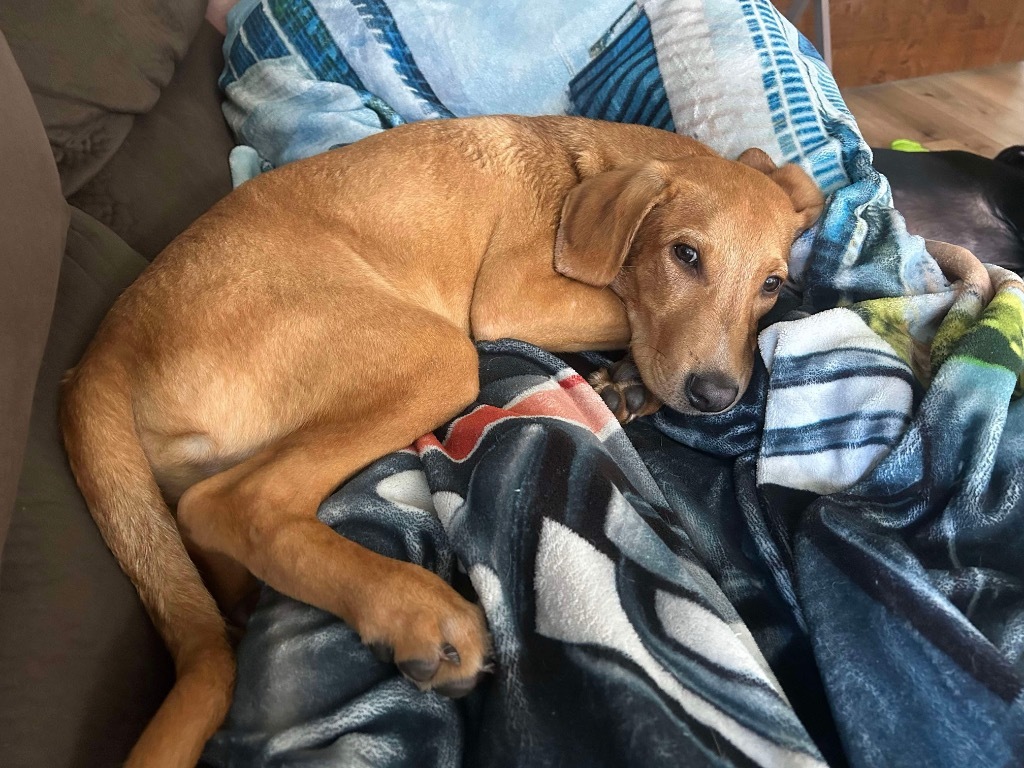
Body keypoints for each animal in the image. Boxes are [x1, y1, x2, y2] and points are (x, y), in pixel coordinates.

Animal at [58, 115, 823, 768]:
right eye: (685, 255)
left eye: (772, 285)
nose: (718, 395)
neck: (580, 167)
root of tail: (103, 349)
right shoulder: (517, 299)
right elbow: (623, 305)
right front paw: (636, 370)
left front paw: (632, 385)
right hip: (438, 356)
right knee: (237, 504)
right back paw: (415, 611)